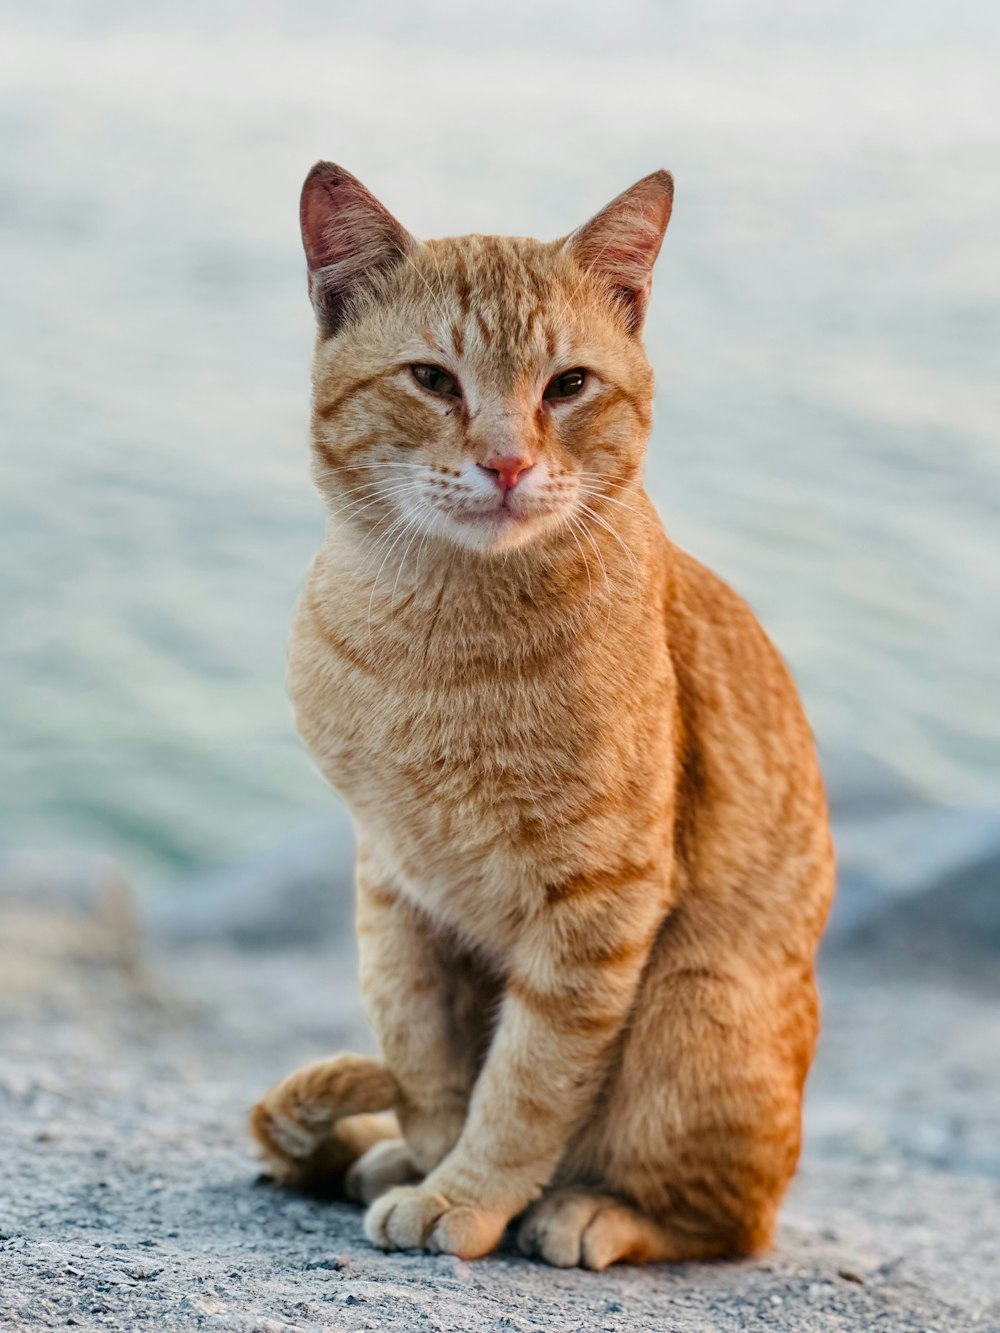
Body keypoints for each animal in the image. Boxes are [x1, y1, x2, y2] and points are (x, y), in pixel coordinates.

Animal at [252, 163, 837, 1269]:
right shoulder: (394, 881)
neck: (438, 643)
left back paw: (591, 1210)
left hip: (694, 1004)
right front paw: (426, 1155)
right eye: (433, 380)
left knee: (733, 1219)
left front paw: (465, 1194)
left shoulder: (599, 902)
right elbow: (423, 1054)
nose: (508, 463)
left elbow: (527, 1081)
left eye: (566, 387)